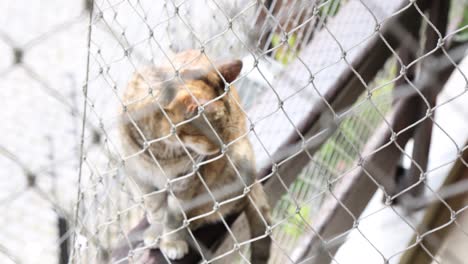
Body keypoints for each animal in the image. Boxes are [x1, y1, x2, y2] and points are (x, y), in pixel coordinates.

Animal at [119, 49, 270, 262]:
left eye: (227, 132)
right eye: (210, 134)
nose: (222, 149)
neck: (161, 148)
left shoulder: (186, 183)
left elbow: (174, 217)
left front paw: (171, 241)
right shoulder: (141, 178)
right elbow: (156, 210)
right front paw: (156, 230)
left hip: (238, 164)